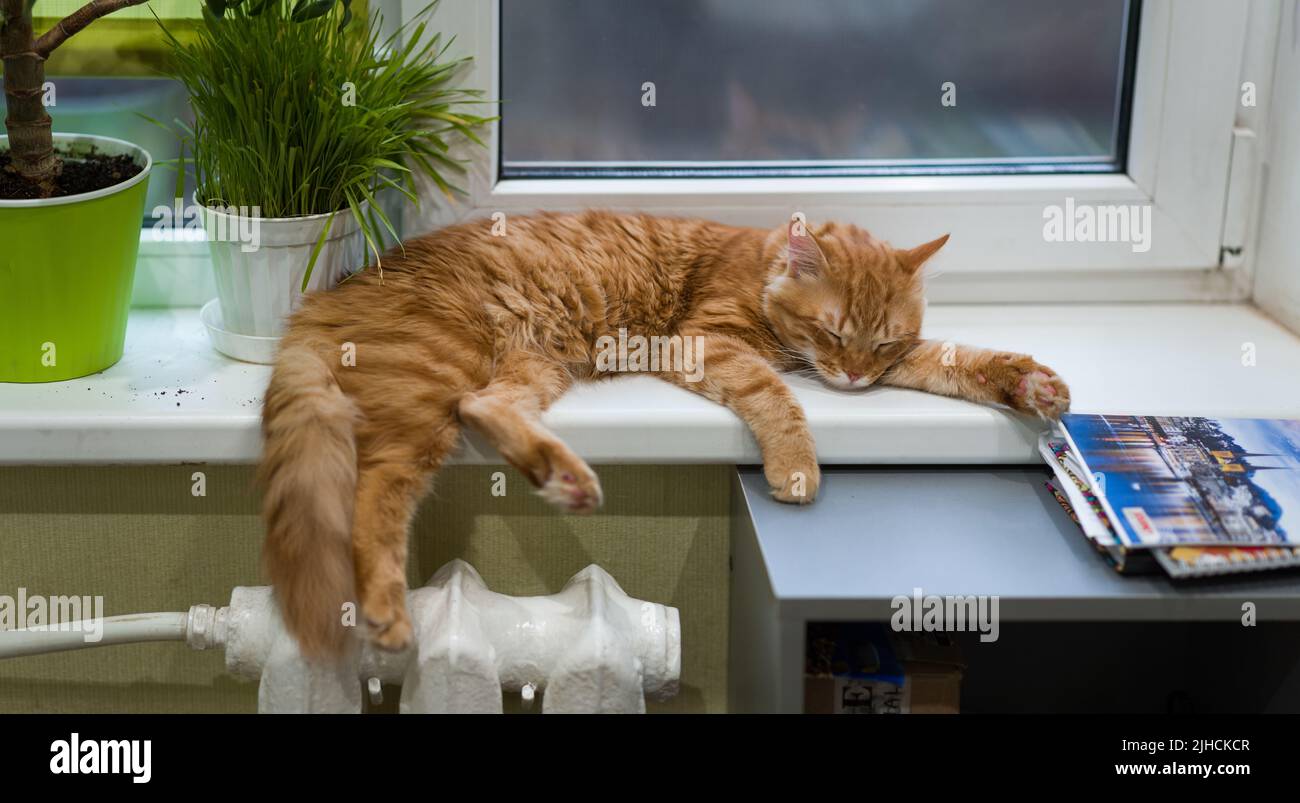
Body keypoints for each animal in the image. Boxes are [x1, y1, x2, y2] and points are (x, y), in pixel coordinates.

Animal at [258, 209, 1071, 652]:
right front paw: (796, 463)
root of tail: (324, 297)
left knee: (482, 409)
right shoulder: (709, 343)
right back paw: (388, 611)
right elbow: (778, 396)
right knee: (376, 494)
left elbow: (956, 361)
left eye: (882, 342)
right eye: (833, 331)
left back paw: (565, 478)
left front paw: (1031, 384)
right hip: (433, 383)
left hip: (528, 368)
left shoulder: (900, 360)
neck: (760, 265)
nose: (850, 381)